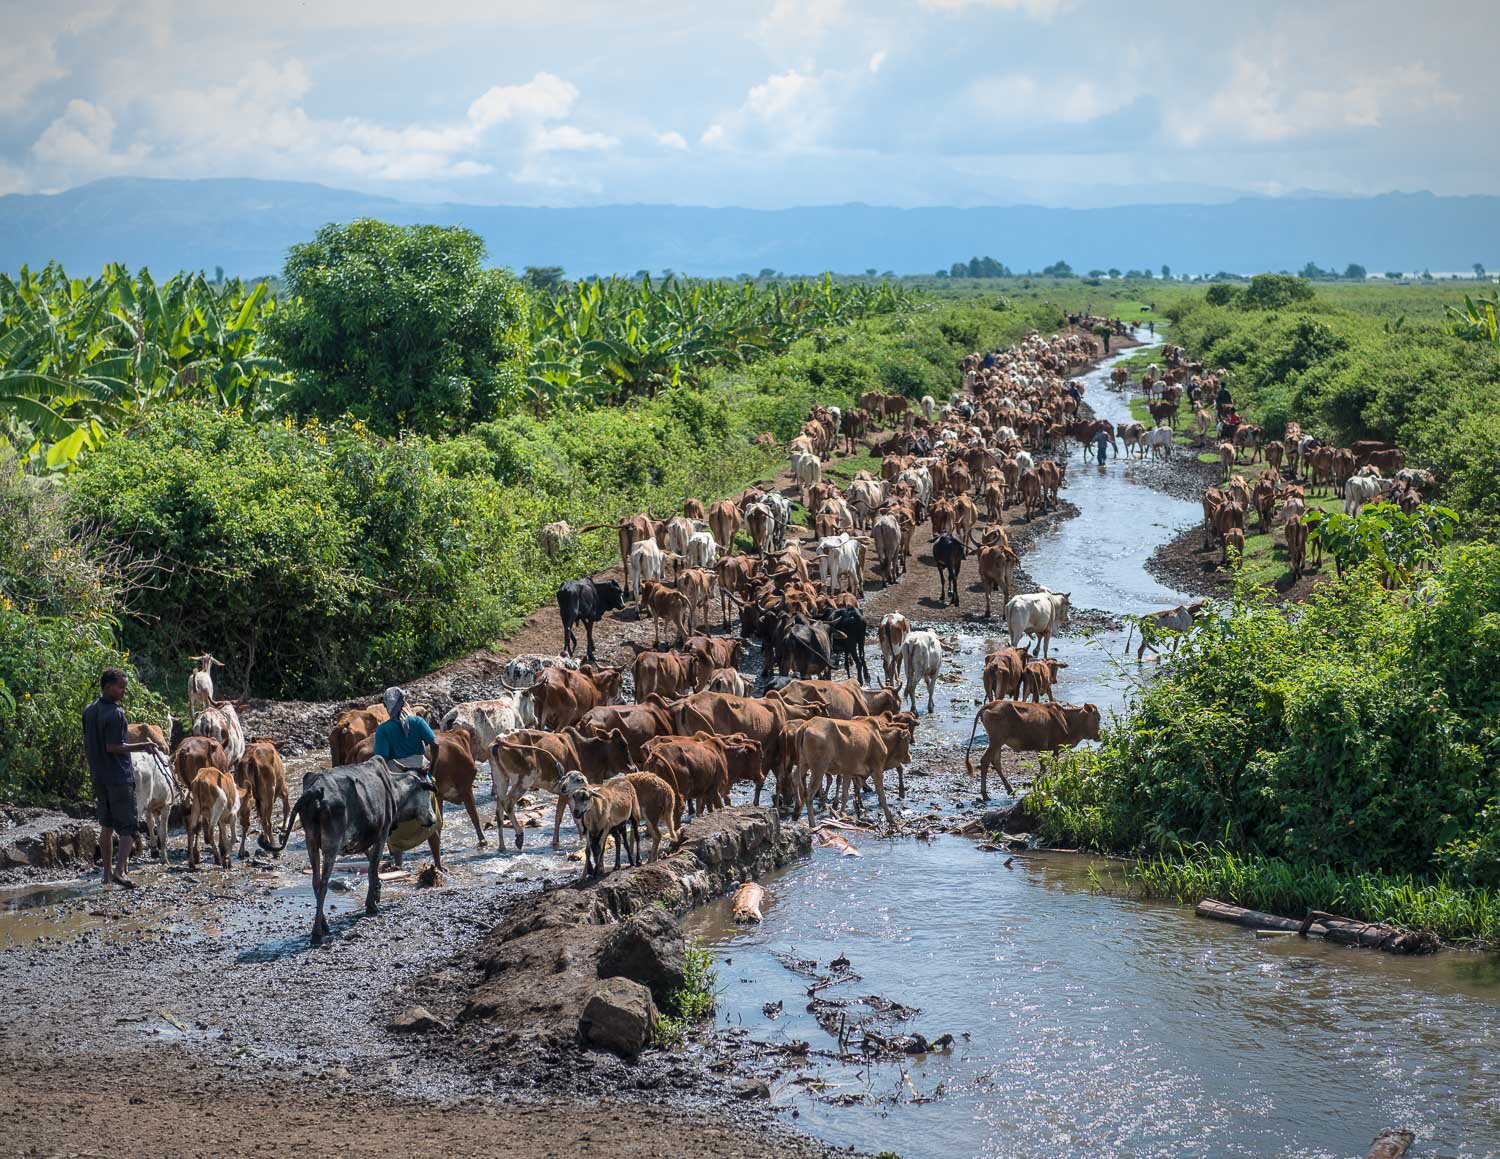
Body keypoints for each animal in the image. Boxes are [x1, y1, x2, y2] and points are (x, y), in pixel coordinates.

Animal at [262, 764, 438, 947]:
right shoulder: (382, 833)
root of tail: (315, 791)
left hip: (311, 841)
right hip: (331, 843)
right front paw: (371, 905)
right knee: (323, 884)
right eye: (427, 792)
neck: (393, 787)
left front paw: (377, 891)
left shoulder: (362, 839)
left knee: (315, 882)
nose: (432, 819)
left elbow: (371, 862)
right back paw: (317, 933)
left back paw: (324, 924)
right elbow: (372, 867)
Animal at [966, 701, 1098, 797]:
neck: (1067, 719)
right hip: (996, 740)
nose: (1099, 736)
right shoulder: (1054, 748)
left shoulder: (1042, 748)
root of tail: (991, 704)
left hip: (998, 742)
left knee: (995, 762)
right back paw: (985, 794)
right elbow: (1050, 767)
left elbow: (1045, 767)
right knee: (985, 761)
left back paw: (1009, 789)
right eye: (1097, 719)